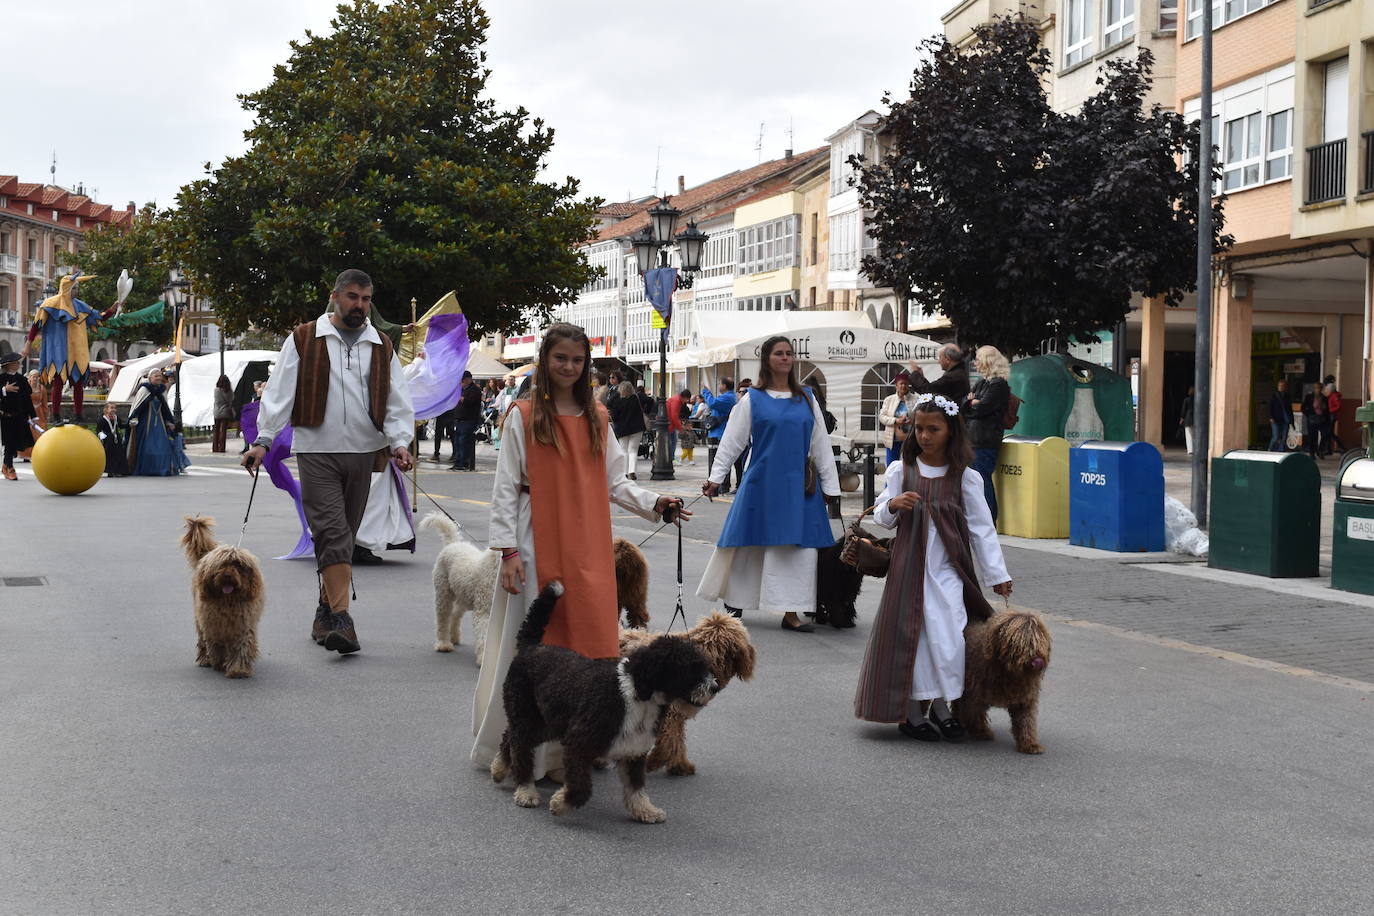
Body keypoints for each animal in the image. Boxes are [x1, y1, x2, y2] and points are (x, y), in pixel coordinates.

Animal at [179, 516, 265, 681]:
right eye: (221, 564)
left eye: (238, 564)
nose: (227, 576)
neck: (228, 601)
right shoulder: (212, 625)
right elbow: (215, 645)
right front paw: (218, 662)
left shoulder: (243, 626)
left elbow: (241, 648)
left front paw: (238, 669)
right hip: (200, 621)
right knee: (202, 641)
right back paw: (205, 659)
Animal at [618, 612, 758, 780]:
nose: (753, 653)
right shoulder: (670, 714)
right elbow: (670, 741)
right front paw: (654, 761)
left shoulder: (677, 714)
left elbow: (676, 740)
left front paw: (680, 765)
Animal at [956, 609, 1049, 752]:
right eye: (1020, 641)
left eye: (1039, 639)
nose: (1037, 660)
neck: (1008, 672)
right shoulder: (975, 695)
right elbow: (974, 712)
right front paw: (980, 731)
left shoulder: (1025, 698)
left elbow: (1025, 720)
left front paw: (1029, 744)